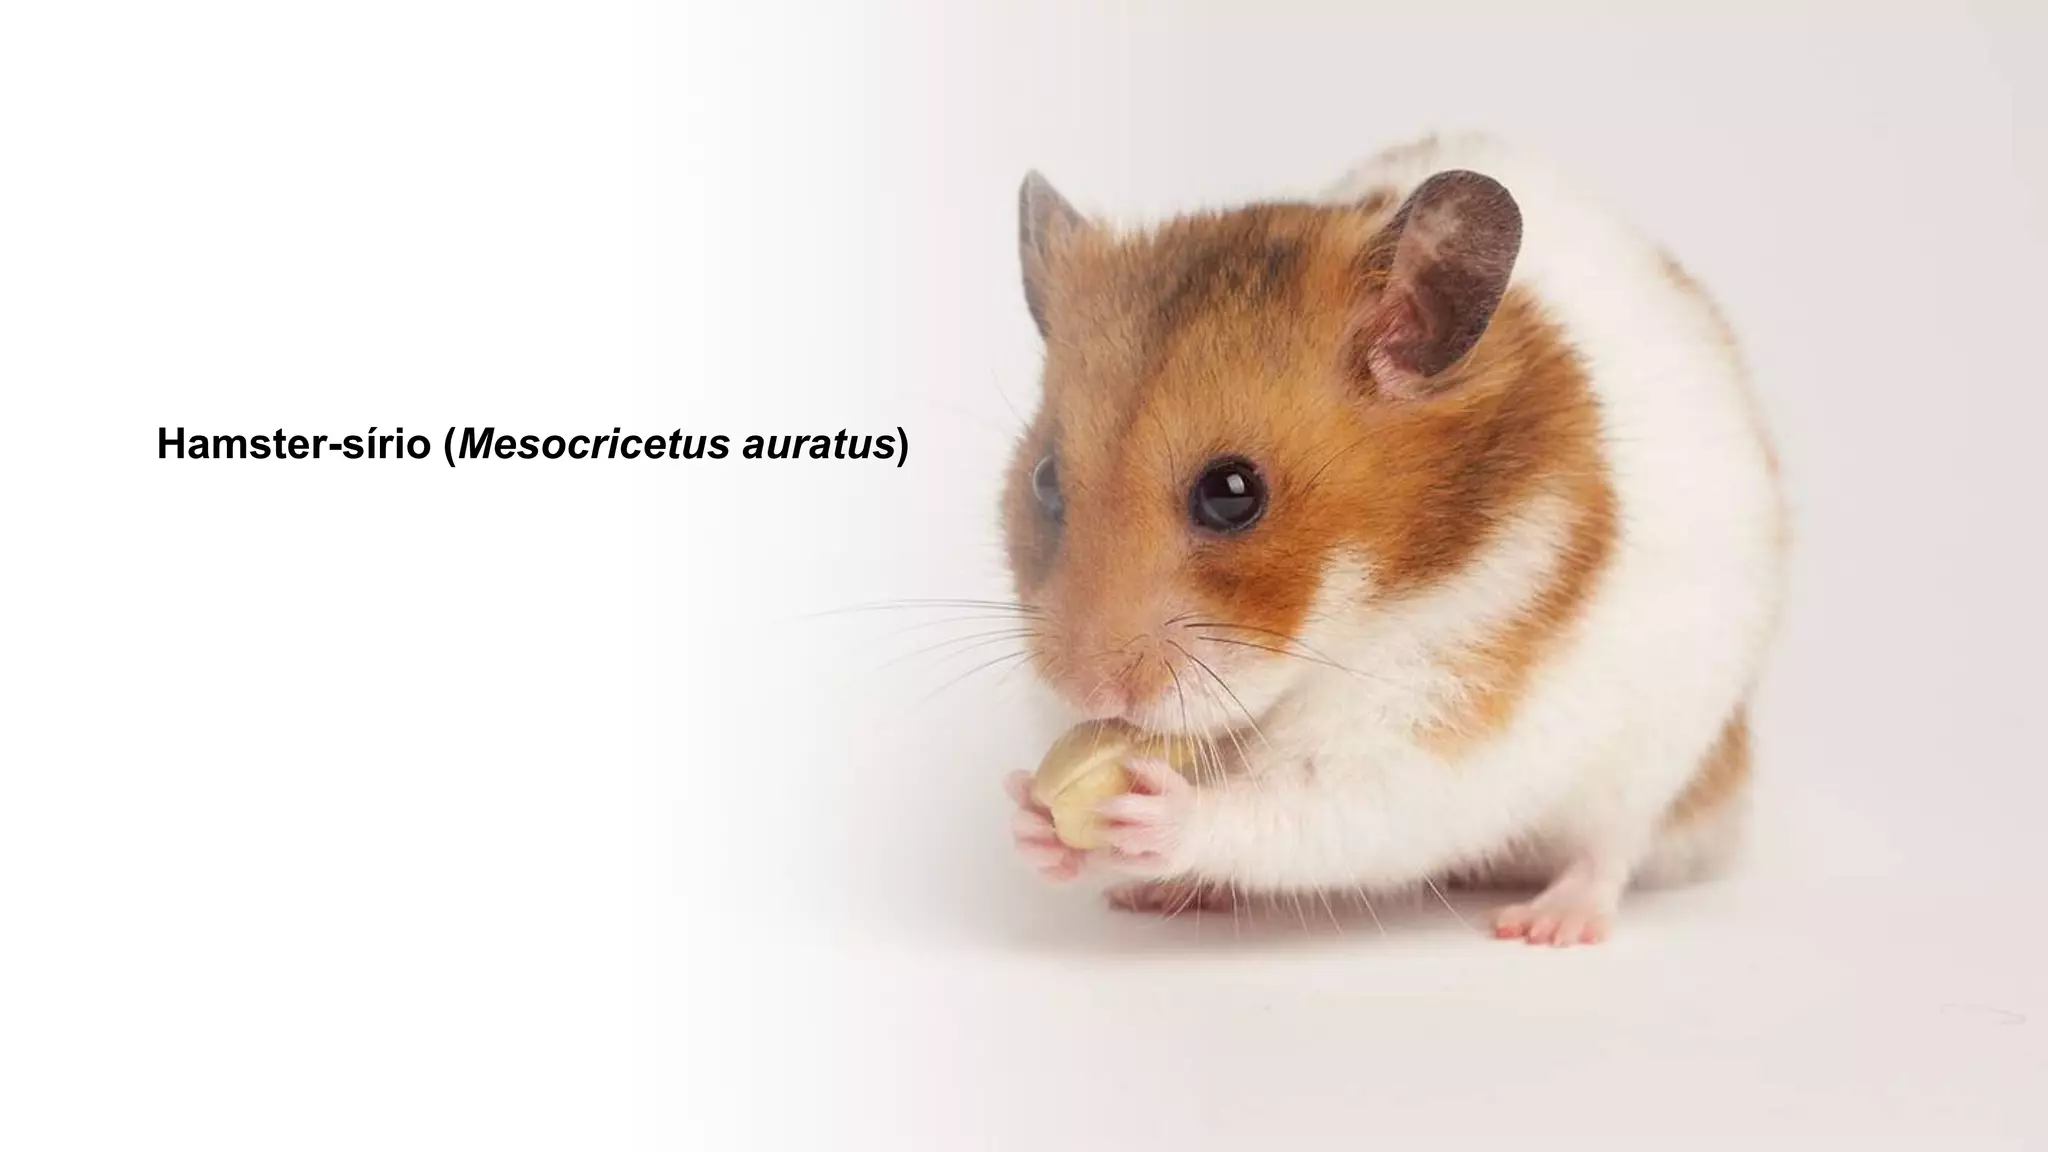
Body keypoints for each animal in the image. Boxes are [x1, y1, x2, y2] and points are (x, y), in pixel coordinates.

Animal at [1000, 134, 1786, 945]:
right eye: (1046, 481)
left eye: (1232, 494)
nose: (1086, 690)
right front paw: (1030, 811)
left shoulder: (1436, 718)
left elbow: (1302, 805)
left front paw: (1152, 809)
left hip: (1660, 755)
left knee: (1609, 849)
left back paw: (1546, 924)